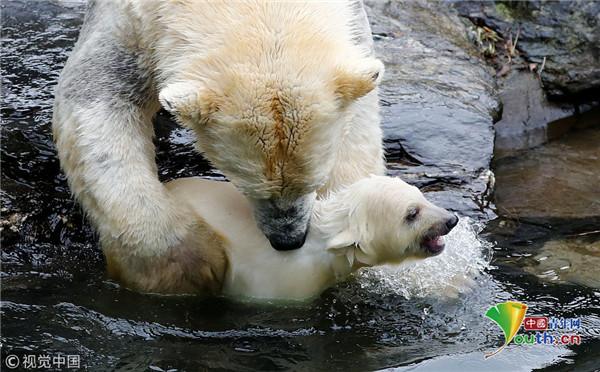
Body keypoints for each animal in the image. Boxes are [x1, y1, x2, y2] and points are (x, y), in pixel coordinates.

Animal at [54, 0, 386, 294]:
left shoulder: (353, 23)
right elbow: (95, 97)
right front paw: (188, 264)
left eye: (313, 183)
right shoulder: (131, 25)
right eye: (247, 187)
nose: (288, 240)